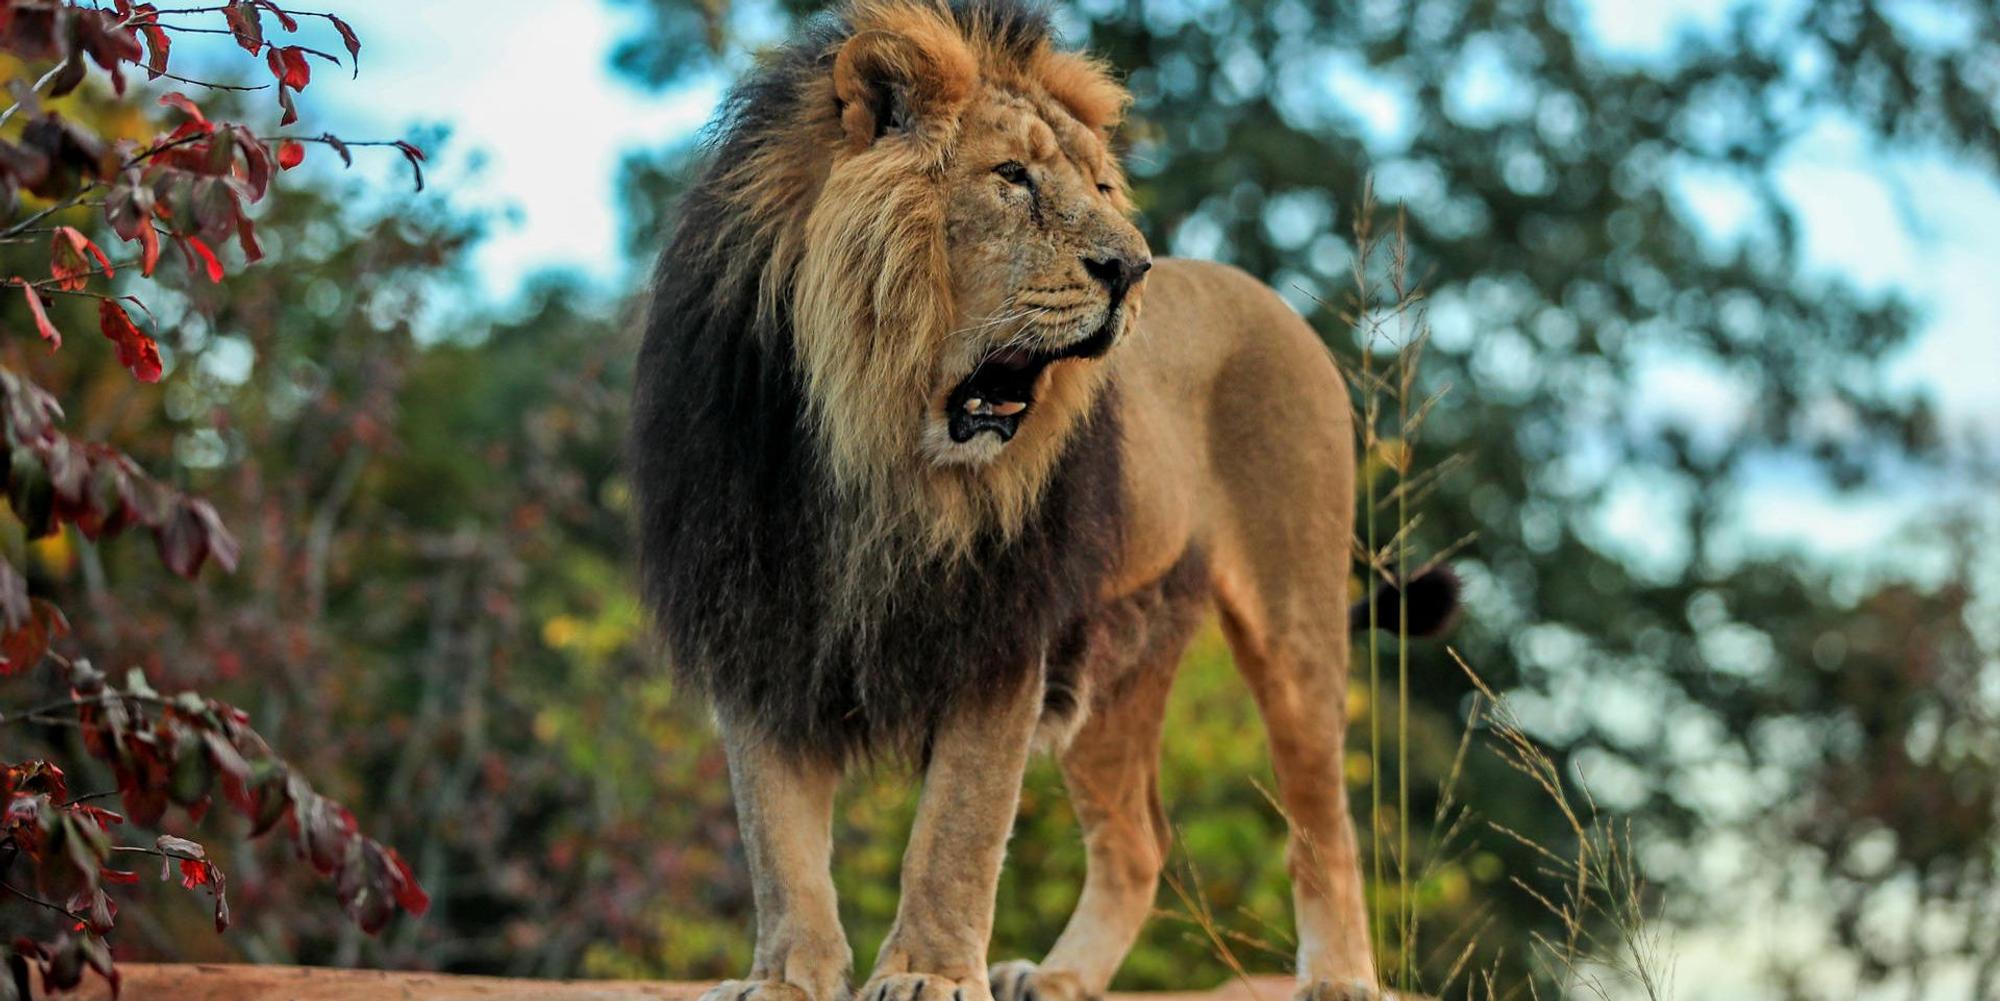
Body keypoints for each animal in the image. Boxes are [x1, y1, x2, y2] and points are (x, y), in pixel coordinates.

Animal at [630, 3, 1453, 1000]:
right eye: (1012, 178)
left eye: (1100, 186)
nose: (1133, 268)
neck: (870, 449)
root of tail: (1268, 299)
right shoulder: (754, 619)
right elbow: (777, 837)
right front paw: (787, 977)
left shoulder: (1002, 626)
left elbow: (959, 826)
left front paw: (929, 974)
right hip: (1120, 656)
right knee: (1138, 841)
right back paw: (1057, 977)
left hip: (1294, 616)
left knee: (1322, 818)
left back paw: (1339, 977)